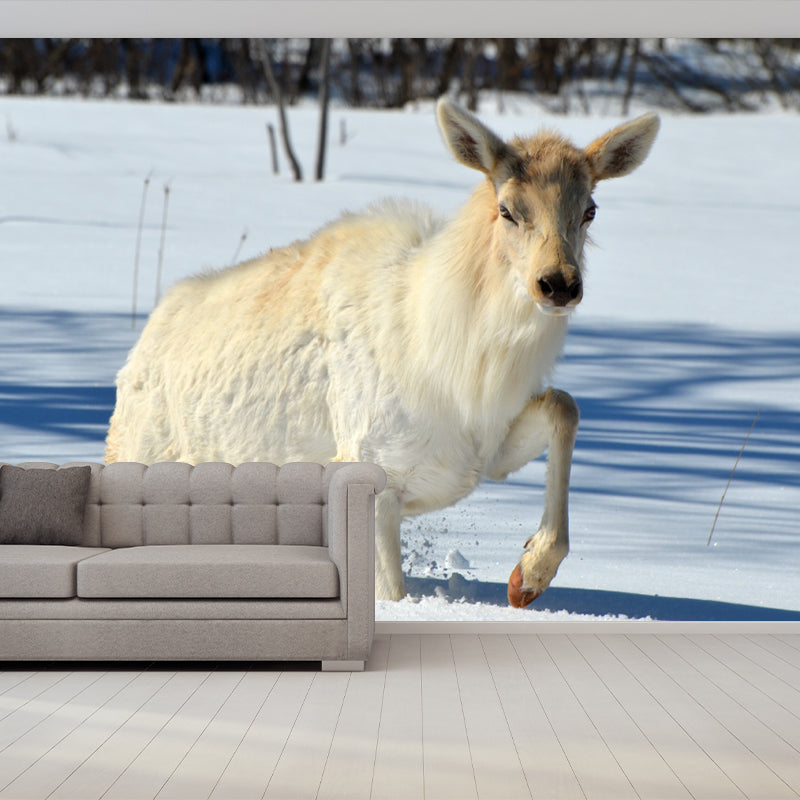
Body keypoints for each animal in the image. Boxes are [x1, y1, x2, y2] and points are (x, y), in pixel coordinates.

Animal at [106, 99, 659, 607]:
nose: (559, 284)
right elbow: (392, 595)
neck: (462, 368)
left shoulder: (485, 455)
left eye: (589, 209)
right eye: (507, 209)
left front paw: (528, 576)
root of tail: (139, 351)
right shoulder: (370, 469)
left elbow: (565, 406)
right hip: (138, 455)